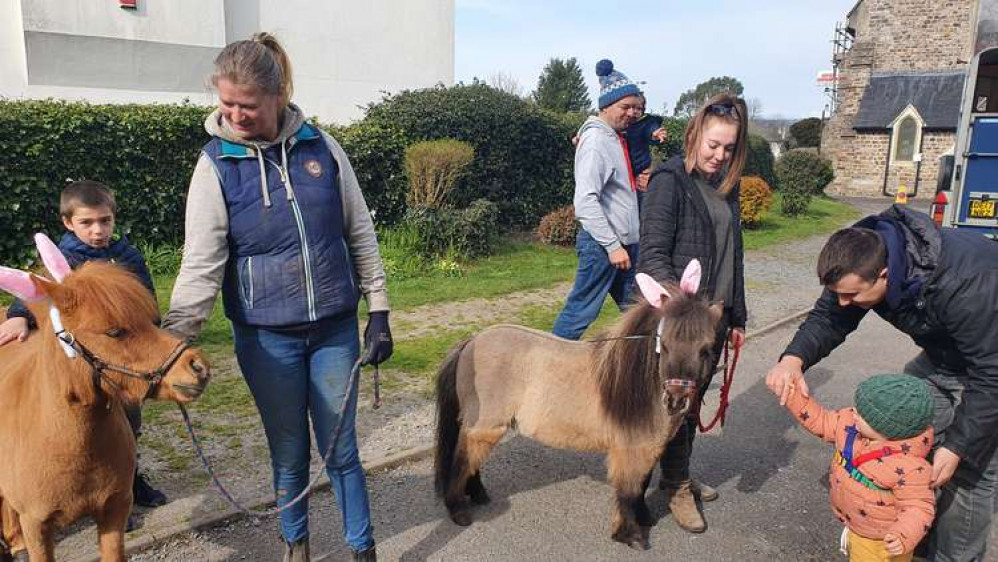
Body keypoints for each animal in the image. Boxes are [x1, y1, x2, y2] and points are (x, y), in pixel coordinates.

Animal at [434, 262, 724, 548]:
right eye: (663, 344)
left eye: (706, 349)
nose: (676, 400)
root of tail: (472, 340)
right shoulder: (629, 448)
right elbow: (628, 491)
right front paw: (629, 534)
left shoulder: (648, 445)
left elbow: (641, 484)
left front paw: (644, 518)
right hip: (486, 424)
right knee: (463, 458)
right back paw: (458, 510)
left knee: (471, 457)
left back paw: (478, 495)